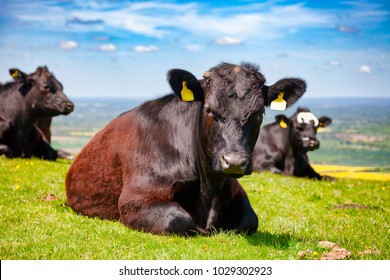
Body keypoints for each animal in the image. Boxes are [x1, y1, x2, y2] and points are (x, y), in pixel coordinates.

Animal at [65, 62, 306, 235]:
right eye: (209, 110)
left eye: (258, 113)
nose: (234, 162)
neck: (208, 191)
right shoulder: (134, 199)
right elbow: (178, 219)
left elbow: (249, 220)